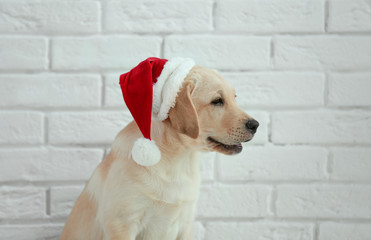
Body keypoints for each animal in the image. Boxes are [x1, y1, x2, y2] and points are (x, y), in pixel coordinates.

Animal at [60, 65, 258, 240]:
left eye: (234, 98)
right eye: (217, 101)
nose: (255, 125)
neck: (177, 159)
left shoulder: (185, 222)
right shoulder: (122, 224)